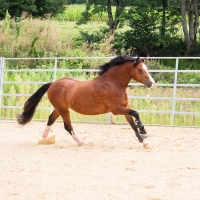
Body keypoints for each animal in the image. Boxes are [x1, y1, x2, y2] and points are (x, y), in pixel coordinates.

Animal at [16, 56, 155, 148]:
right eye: (140, 70)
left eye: (146, 68)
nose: (152, 83)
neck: (113, 83)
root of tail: (52, 84)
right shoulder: (116, 109)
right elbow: (136, 113)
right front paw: (144, 131)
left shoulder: (125, 108)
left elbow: (132, 124)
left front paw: (145, 142)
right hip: (63, 110)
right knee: (68, 126)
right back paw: (81, 142)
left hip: (59, 109)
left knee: (51, 119)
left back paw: (42, 139)